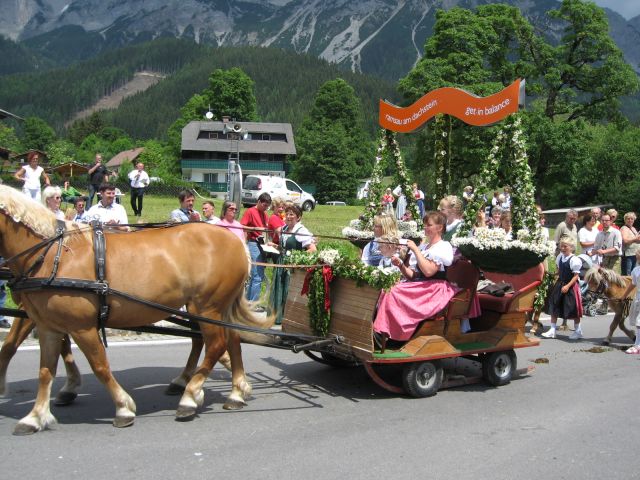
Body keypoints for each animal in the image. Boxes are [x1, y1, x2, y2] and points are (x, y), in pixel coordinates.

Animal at [0, 185, 272, 434]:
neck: (53, 254)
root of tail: (236, 242)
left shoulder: (82, 327)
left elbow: (100, 366)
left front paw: (123, 407)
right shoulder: (48, 327)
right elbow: (44, 370)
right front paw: (35, 416)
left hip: (206, 307)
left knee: (215, 344)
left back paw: (190, 396)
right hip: (213, 309)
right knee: (230, 339)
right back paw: (235, 392)